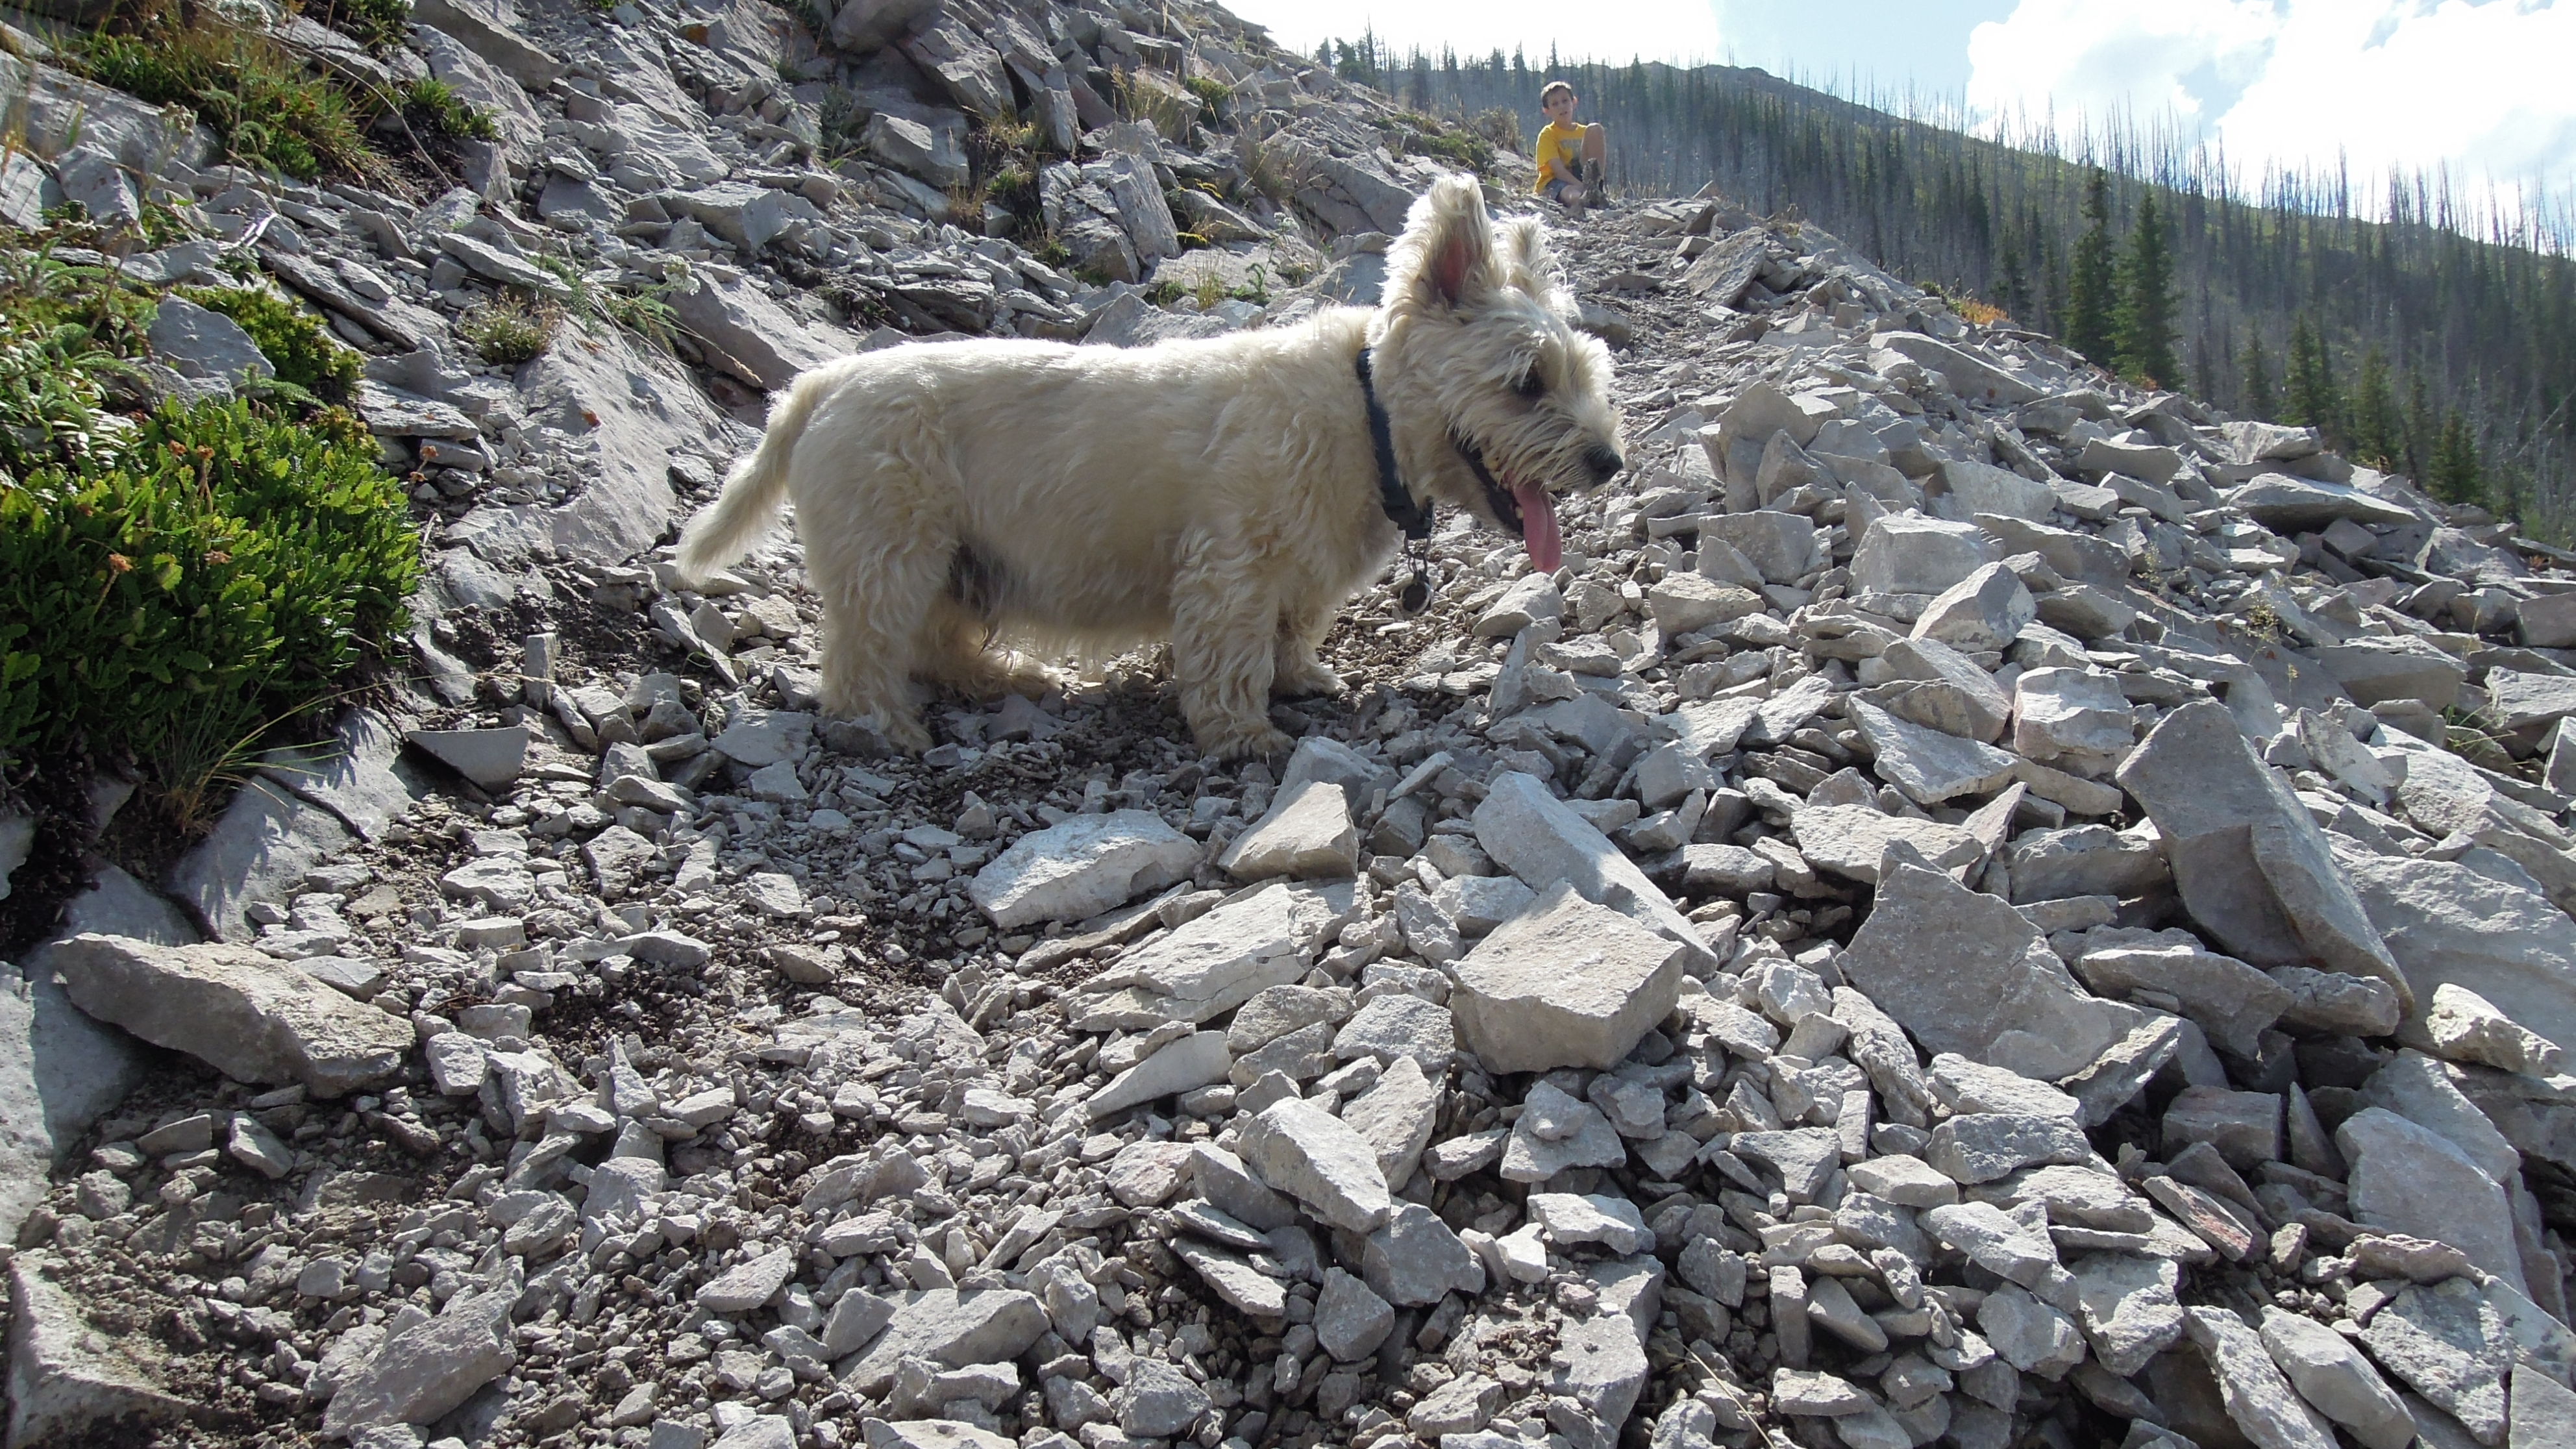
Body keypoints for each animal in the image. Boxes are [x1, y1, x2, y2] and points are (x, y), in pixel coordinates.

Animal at [673, 172, 1625, 760]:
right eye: (1527, 382)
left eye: (1588, 375)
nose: (1608, 462)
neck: (1367, 418)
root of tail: (820, 383)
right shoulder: (1231, 564)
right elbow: (1231, 654)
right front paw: (1244, 734)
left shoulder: (1299, 574)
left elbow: (1292, 632)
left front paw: (1302, 679)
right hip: (891, 550)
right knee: (864, 652)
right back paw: (886, 725)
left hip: (953, 559)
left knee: (938, 642)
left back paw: (1007, 677)